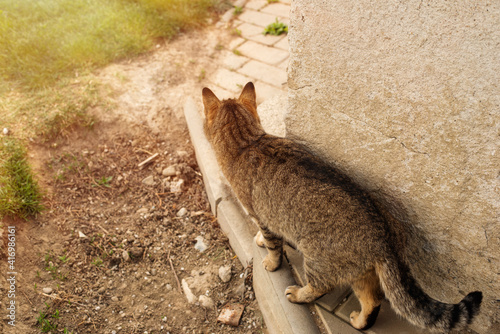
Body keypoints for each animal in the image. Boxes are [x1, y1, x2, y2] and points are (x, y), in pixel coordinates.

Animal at [201, 83, 482, 332]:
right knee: (373, 300)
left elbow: (273, 246)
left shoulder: (261, 215)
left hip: (317, 259)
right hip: (360, 273)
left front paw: (270, 260)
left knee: (321, 286)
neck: (247, 142)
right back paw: (360, 322)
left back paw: (299, 294)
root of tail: (384, 237)